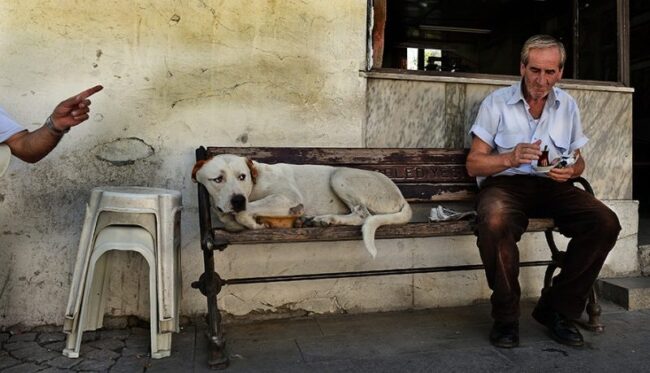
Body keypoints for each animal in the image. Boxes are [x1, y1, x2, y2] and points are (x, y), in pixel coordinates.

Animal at [190, 153, 410, 256]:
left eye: (242, 176)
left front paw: (254, 222)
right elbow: (230, 219)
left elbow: (244, 213)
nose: (238, 200)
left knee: (362, 214)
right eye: (218, 179)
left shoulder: (288, 197)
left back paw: (325, 219)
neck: (254, 185)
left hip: (340, 174)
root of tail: (400, 194)